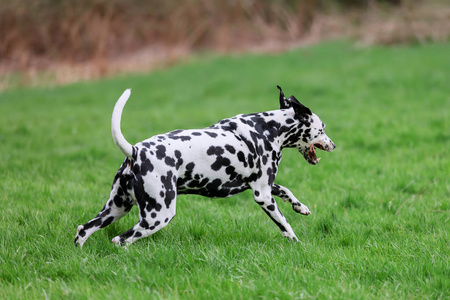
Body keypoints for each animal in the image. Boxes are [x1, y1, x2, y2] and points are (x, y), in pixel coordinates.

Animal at [74, 85, 334, 247]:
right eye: (322, 129)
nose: (333, 145)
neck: (268, 128)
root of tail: (136, 151)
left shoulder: (264, 186)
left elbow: (286, 191)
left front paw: (300, 207)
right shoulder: (263, 196)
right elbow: (285, 226)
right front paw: (297, 242)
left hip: (116, 209)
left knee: (83, 230)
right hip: (157, 216)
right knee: (120, 240)